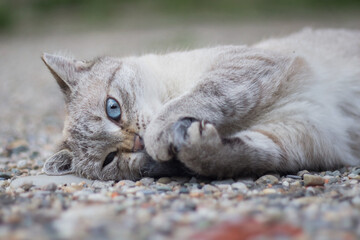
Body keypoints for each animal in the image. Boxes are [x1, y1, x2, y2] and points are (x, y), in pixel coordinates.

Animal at [40, 28, 360, 180]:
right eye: (109, 159)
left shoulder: (242, 66)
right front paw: (194, 147)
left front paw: (163, 139)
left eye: (113, 109)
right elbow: (242, 156)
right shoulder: (297, 136)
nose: (137, 144)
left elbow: (201, 96)